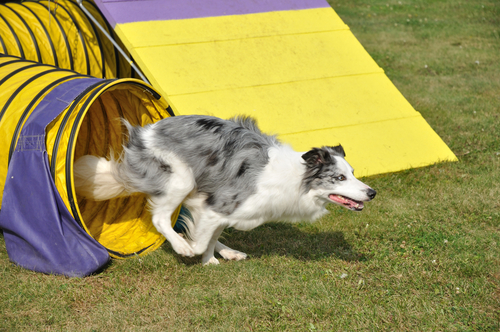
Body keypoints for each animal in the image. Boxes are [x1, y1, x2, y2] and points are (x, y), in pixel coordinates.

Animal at [74, 115, 376, 266]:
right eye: (339, 177)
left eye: (353, 173)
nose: (372, 192)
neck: (294, 179)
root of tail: (142, 133)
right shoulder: (218, 204)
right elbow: (199, 239)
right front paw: (192, 251)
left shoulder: (218, 208)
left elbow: (210, 236)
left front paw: (210, 260)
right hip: (181, 178)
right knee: (160, 218)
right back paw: (181, 245)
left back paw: (228, 252)